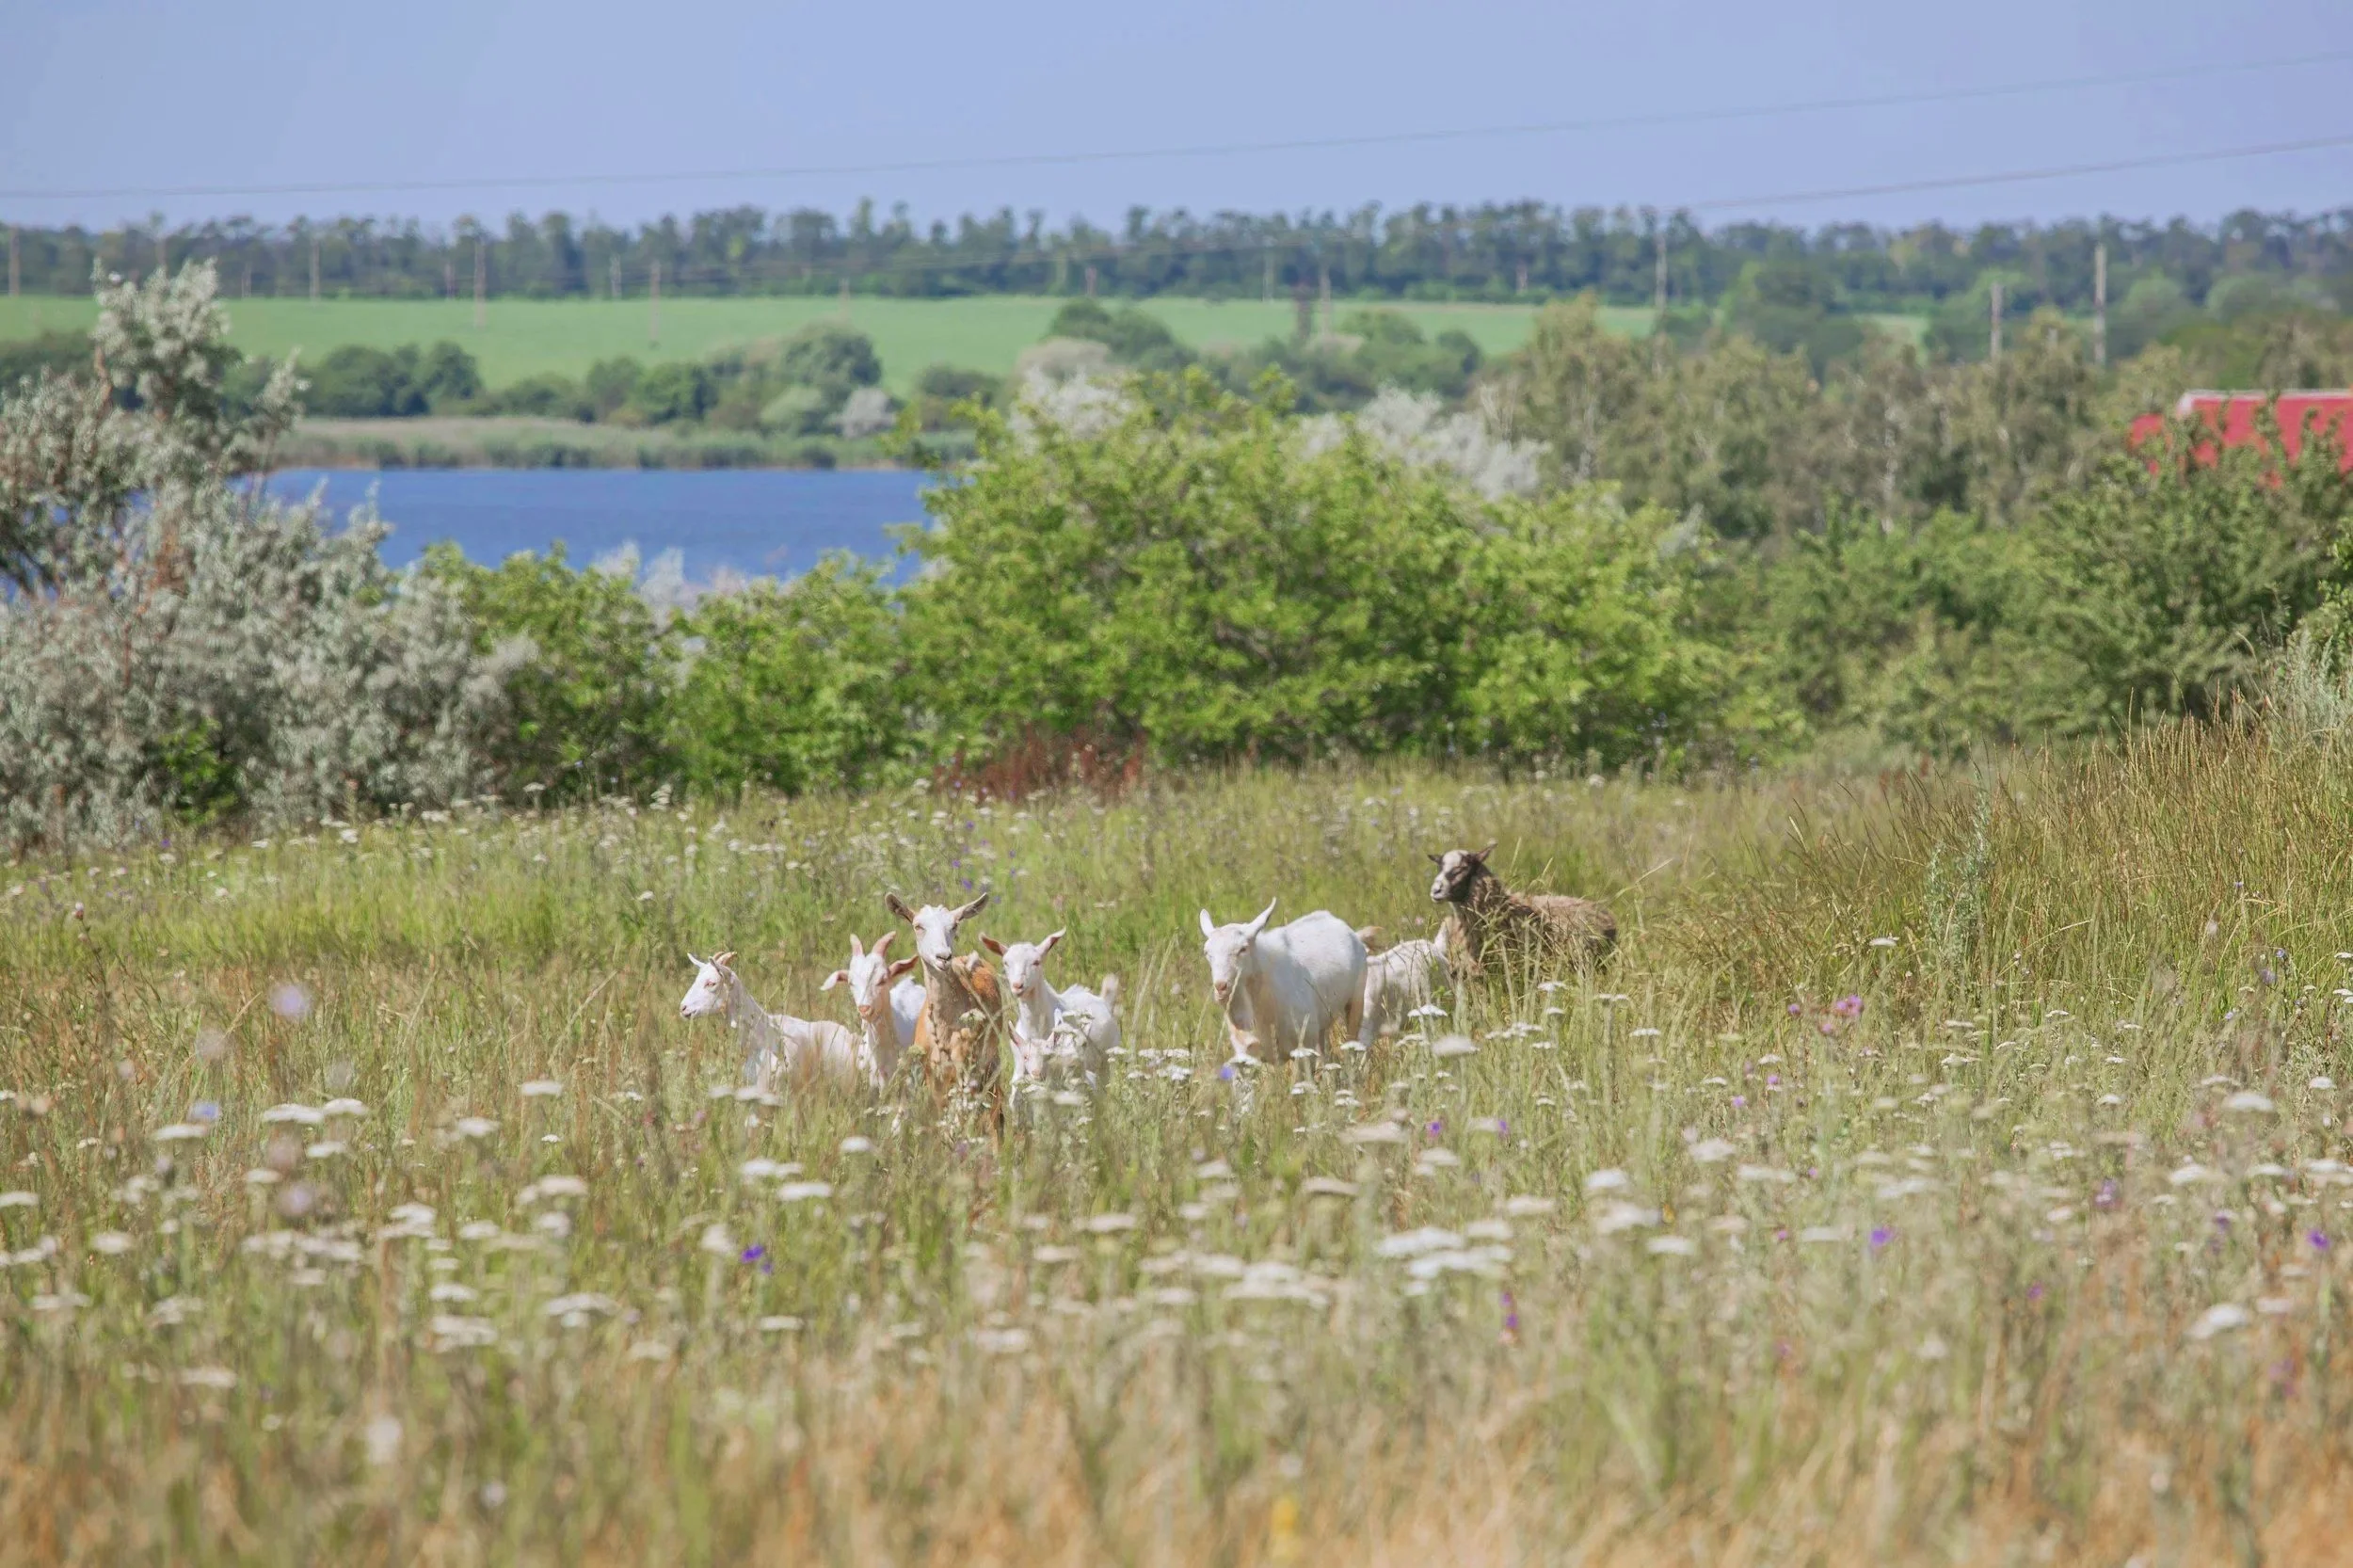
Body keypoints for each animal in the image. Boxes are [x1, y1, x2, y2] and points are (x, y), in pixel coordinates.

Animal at [884, 891, 1006, 1122]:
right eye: (918, 926)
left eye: (954, 925)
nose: (943, 957)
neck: (944, 1029)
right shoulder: (933, 1074)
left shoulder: (964, 1071)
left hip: (990, 1064)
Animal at [980, 928, 1119, 1087]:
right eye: (1006, 962)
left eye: (1036, 962)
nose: (1017, 985)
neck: (1035, 1028)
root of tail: (1103, 1000)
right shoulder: (1021, 1062)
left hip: (1107, 1062)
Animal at [1198, 899, 1365, 1063]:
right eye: (1207, 952)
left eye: (1243, 949)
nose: (1221, 987)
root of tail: (1330, 917)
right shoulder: (1246, 1051)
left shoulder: (1303, 1048)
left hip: (1355, 1002)